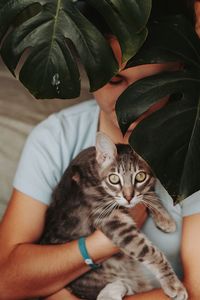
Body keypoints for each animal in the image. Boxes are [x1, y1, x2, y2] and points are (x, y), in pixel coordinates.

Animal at [40, 132, 188, 300]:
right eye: (114, 179)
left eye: (140, 177)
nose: (128, 197)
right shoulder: (112, 220)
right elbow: (149, 251)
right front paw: (173, 283)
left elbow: (150, 193)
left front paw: (164, 218)